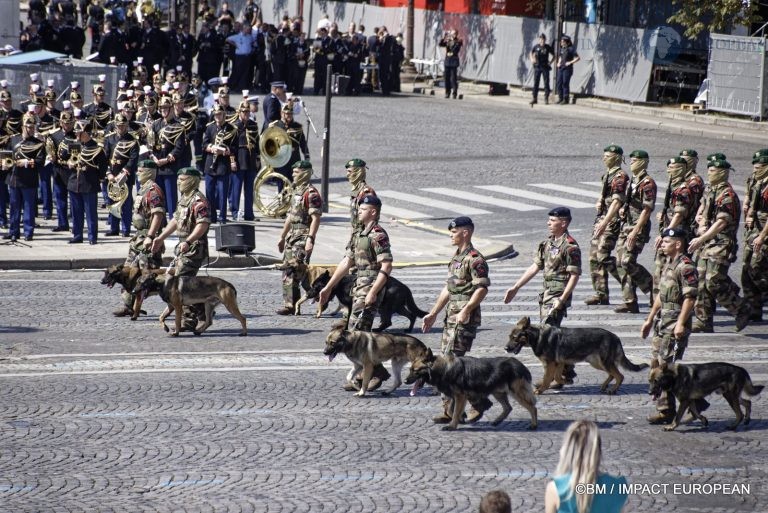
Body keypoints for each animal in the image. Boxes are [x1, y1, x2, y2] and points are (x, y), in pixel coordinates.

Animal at [298, 270, 426, 330]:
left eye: (315, 286)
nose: (307, 294)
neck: (337, 284)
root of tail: (405, 287)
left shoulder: (352, 306)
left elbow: (349, 318)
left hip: (386, 307)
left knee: (388, 322)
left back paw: (378, 330)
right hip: (396, 307)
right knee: (411, 315)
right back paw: (408, 330)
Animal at [402, 350, 540, 430]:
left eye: (415, 371)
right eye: (410, 370)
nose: (405, 381)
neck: (444, 369)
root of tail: (521, 365)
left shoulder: (460, 396)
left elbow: (455, 411)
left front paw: (452, 426)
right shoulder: (455, 397)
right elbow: (452, 411)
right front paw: (460, 420)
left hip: (516, 393)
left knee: (532, 407)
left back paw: (533, 425)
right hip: (498, 393)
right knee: (508, 408)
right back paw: (497, 421)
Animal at [508, 316, 652, 396]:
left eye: (514, 338)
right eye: (509, 337)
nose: (505, 348)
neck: (537, 336)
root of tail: (615, 337)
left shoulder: (550, 364)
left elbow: (547, 379)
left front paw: (541, 390)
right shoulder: (559, 363)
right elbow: (557, 377)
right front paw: (566, 381)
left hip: (604, 362)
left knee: (619, 376)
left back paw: (612, 390)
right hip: (597, 363)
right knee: (612, 375)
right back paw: (604, 386)